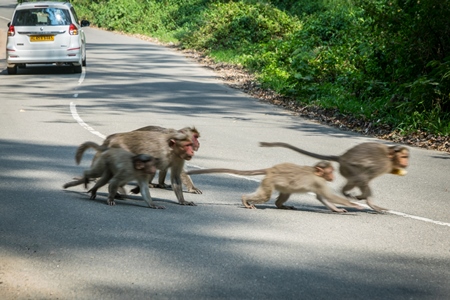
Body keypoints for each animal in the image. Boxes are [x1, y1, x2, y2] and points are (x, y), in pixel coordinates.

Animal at [185, 161, 364, 212]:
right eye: (330, 171)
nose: (333, 176)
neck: (316, 173)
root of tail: (272, 169)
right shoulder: (318, 182)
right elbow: (328, 196)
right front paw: (354, 205)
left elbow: (323, 198)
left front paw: (337, 210)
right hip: (269, 182)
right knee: (265, 196)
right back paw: (245, 200)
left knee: (285, 192)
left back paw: (281, 205)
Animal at [258, 142, 410, 212]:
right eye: (403, 156)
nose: (405, 162)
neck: (390, 158)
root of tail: (342, 158)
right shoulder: (382, 165)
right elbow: (365, 179)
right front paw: (369, 201)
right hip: (349, 167)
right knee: (360, 177)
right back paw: (348, 193)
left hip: (346, 169)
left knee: (354, 180)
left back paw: (346, 192)